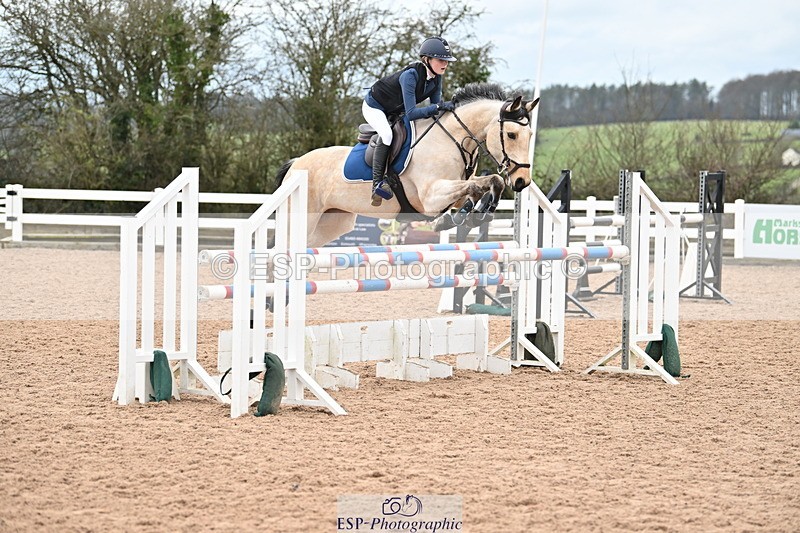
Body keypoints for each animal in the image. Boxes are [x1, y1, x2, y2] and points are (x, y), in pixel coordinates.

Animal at [275, 83, 539, 247]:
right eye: (512, 135)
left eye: (530, 135)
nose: (522, 181)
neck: (451, 138)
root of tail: (296, 164)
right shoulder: (430, 197)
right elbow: (476, 187)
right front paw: (464, 216)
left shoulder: (454, 188)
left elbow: (489, 182)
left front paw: (474, 213)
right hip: (302, 220)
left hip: (332, 223)